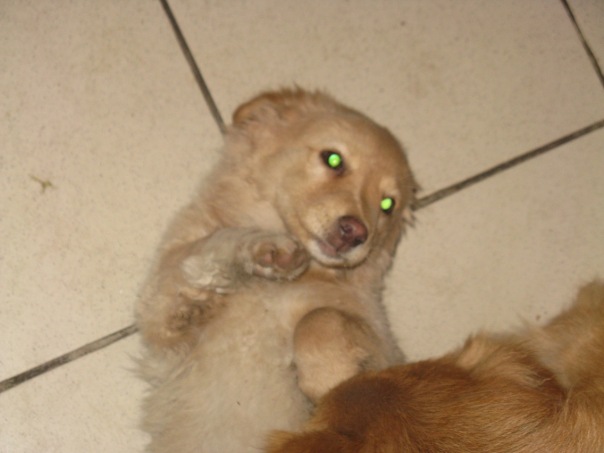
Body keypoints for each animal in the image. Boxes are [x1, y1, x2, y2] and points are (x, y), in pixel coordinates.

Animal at [136, 88, 416, 452]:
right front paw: (264, 249)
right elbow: (202, 253)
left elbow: (320, 318)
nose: (355, 233)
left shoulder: (388, 354)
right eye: (333, 159)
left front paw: (328, 378)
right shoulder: (163, 314)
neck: (274, 292)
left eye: (387, 205)